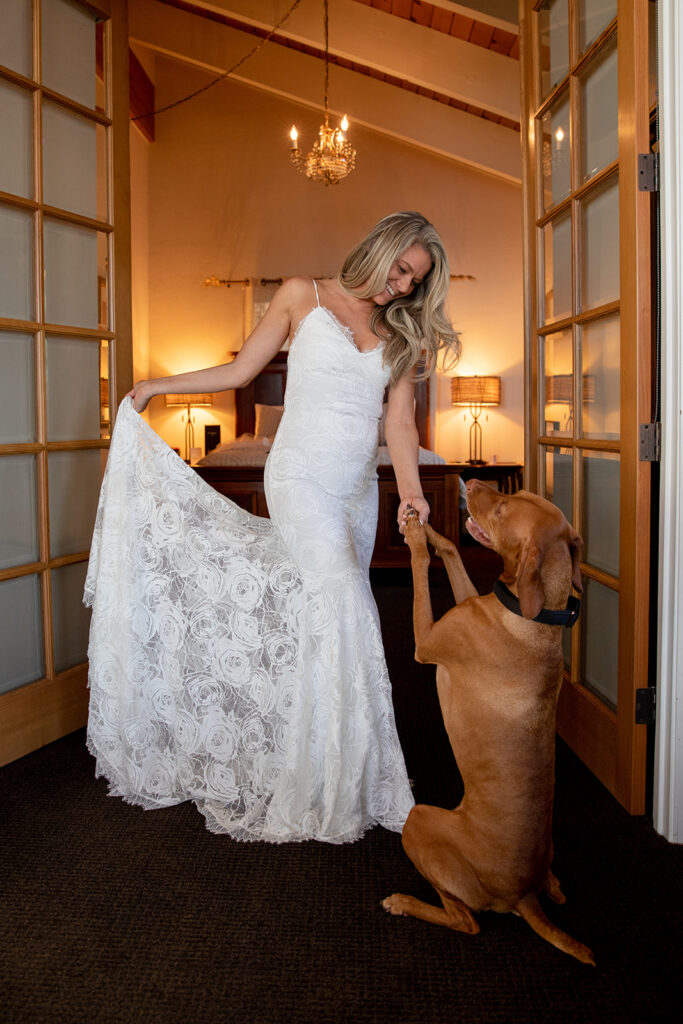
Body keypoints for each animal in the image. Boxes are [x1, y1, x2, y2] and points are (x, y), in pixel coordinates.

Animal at [382, 481, 593, 966]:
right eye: (520, 494)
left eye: (501, 509)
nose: (474, 483)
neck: (531, 615)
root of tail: (523, 895)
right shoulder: (468, 602)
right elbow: (452, 554)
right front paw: (430, 526)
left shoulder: (428, 640)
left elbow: (420, 567)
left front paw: (417, 538)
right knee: (550, 890)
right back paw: (554, 885)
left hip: (420, 821)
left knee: (466, 921)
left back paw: (405, 903)